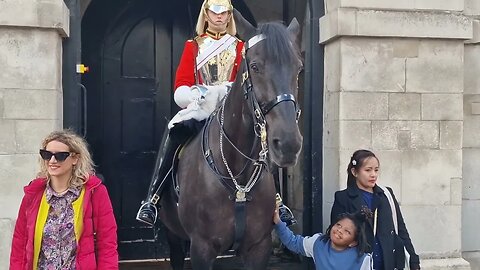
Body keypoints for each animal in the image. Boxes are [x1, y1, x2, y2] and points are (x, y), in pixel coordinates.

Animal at [159, 9, 302, 268]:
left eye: (298, 68)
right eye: (254, 66)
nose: (288, 144)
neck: (238, 180)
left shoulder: (258, 247)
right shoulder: (202, 248)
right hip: (172, 234)